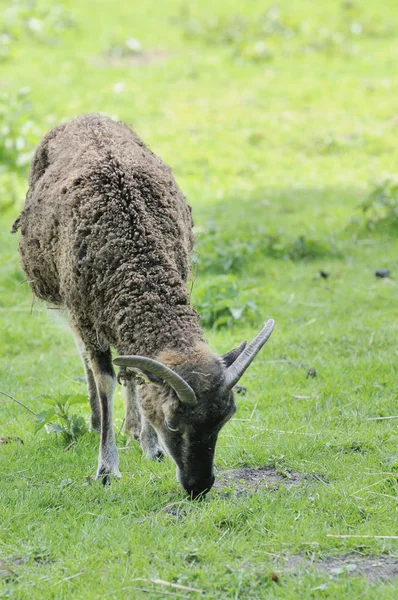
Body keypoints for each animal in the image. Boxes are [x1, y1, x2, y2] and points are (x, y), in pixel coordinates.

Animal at [11, 115, 274, 500]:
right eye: (173, 422)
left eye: (226, 418)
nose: (199, 486)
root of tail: (85, 116)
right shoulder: (85, 314)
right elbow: (105, 379)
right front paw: (107, 469)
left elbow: (136, 372)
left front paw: (150, 446)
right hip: (65, 302)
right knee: (86, 358)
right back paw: (96, 422)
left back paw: (134, 429)